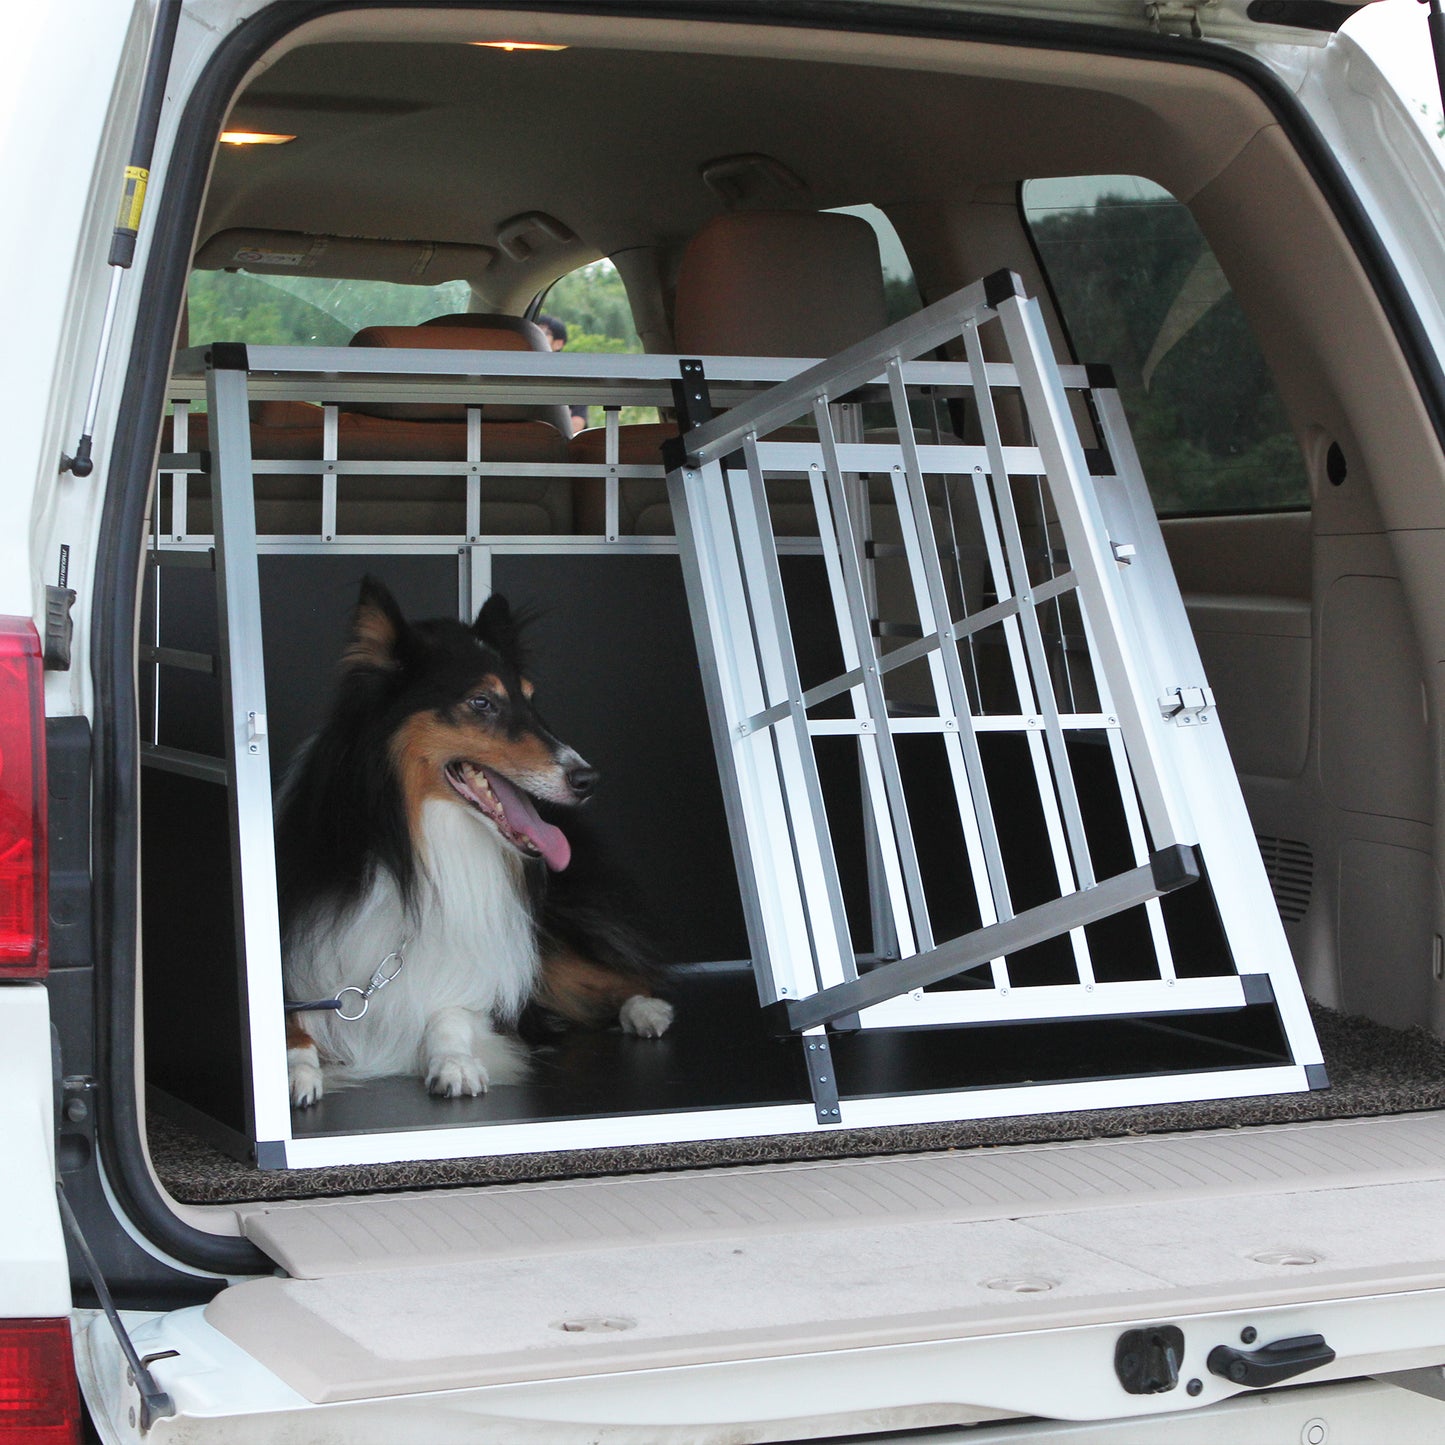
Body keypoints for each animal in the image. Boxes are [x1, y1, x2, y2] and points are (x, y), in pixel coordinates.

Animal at [275, 575, 670, 1103]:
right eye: (482, 702)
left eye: (531, 698)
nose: (588, 779)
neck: (414, 845)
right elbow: (290, 1019)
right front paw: (295, 1069)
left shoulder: (479, 961)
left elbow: (453, 1011)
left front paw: (456, 1061)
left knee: (625, 972)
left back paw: (647, 1009)